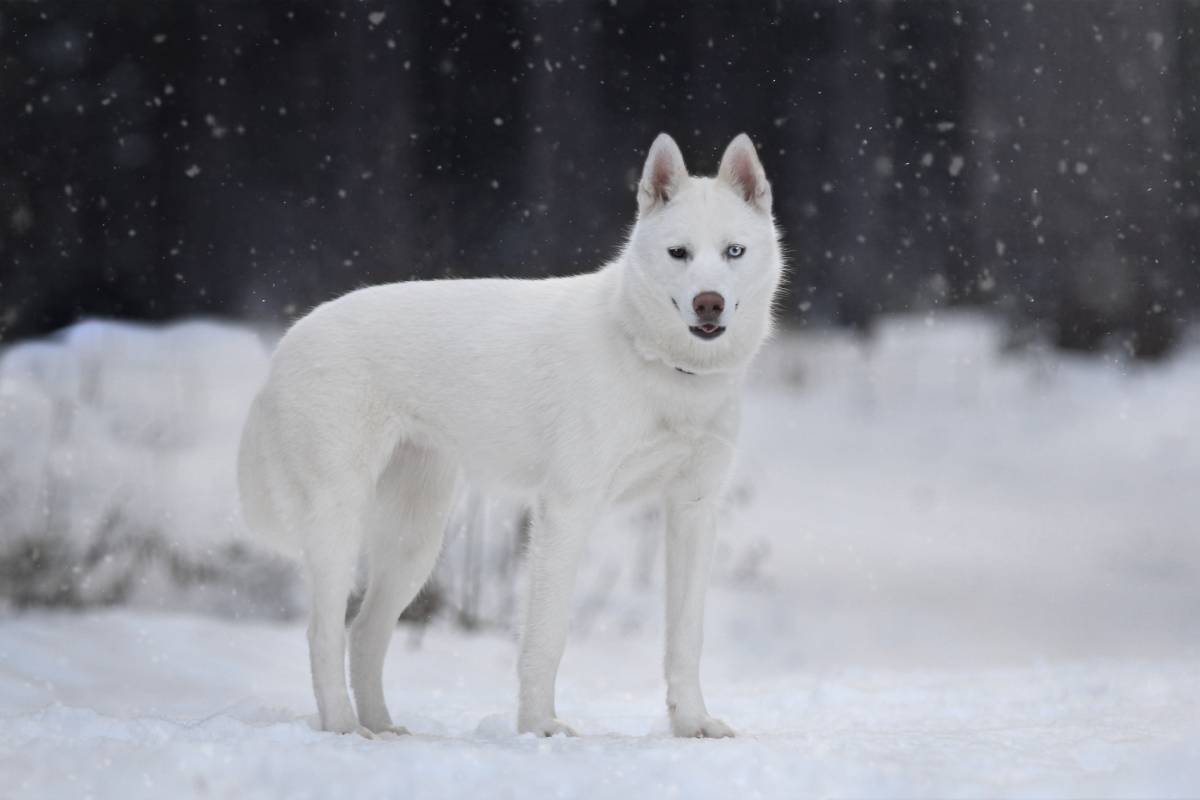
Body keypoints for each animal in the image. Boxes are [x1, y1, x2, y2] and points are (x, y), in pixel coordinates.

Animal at [237, 131, 782, 738]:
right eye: (678, 253)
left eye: (733, 252)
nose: (708, 302)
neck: (662, 367)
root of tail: (286, 344)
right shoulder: (567, 510)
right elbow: (546, 637)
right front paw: (540, 727)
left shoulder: (692, 510)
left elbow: (686, 639)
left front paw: (692, 724)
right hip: (339, 522)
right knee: (323, 634)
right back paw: (342, 727)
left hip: (413, 542)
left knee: (364, 631)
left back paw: (382, 729)